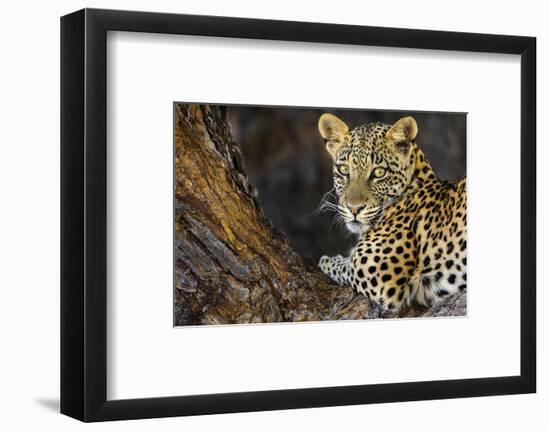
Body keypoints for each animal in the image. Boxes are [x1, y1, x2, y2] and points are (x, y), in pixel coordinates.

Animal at [316, 113, 468, 312]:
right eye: (344, 170)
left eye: (379, 172)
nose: (354, 208)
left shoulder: (375, 276)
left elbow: (344, 265)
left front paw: (326, 259)